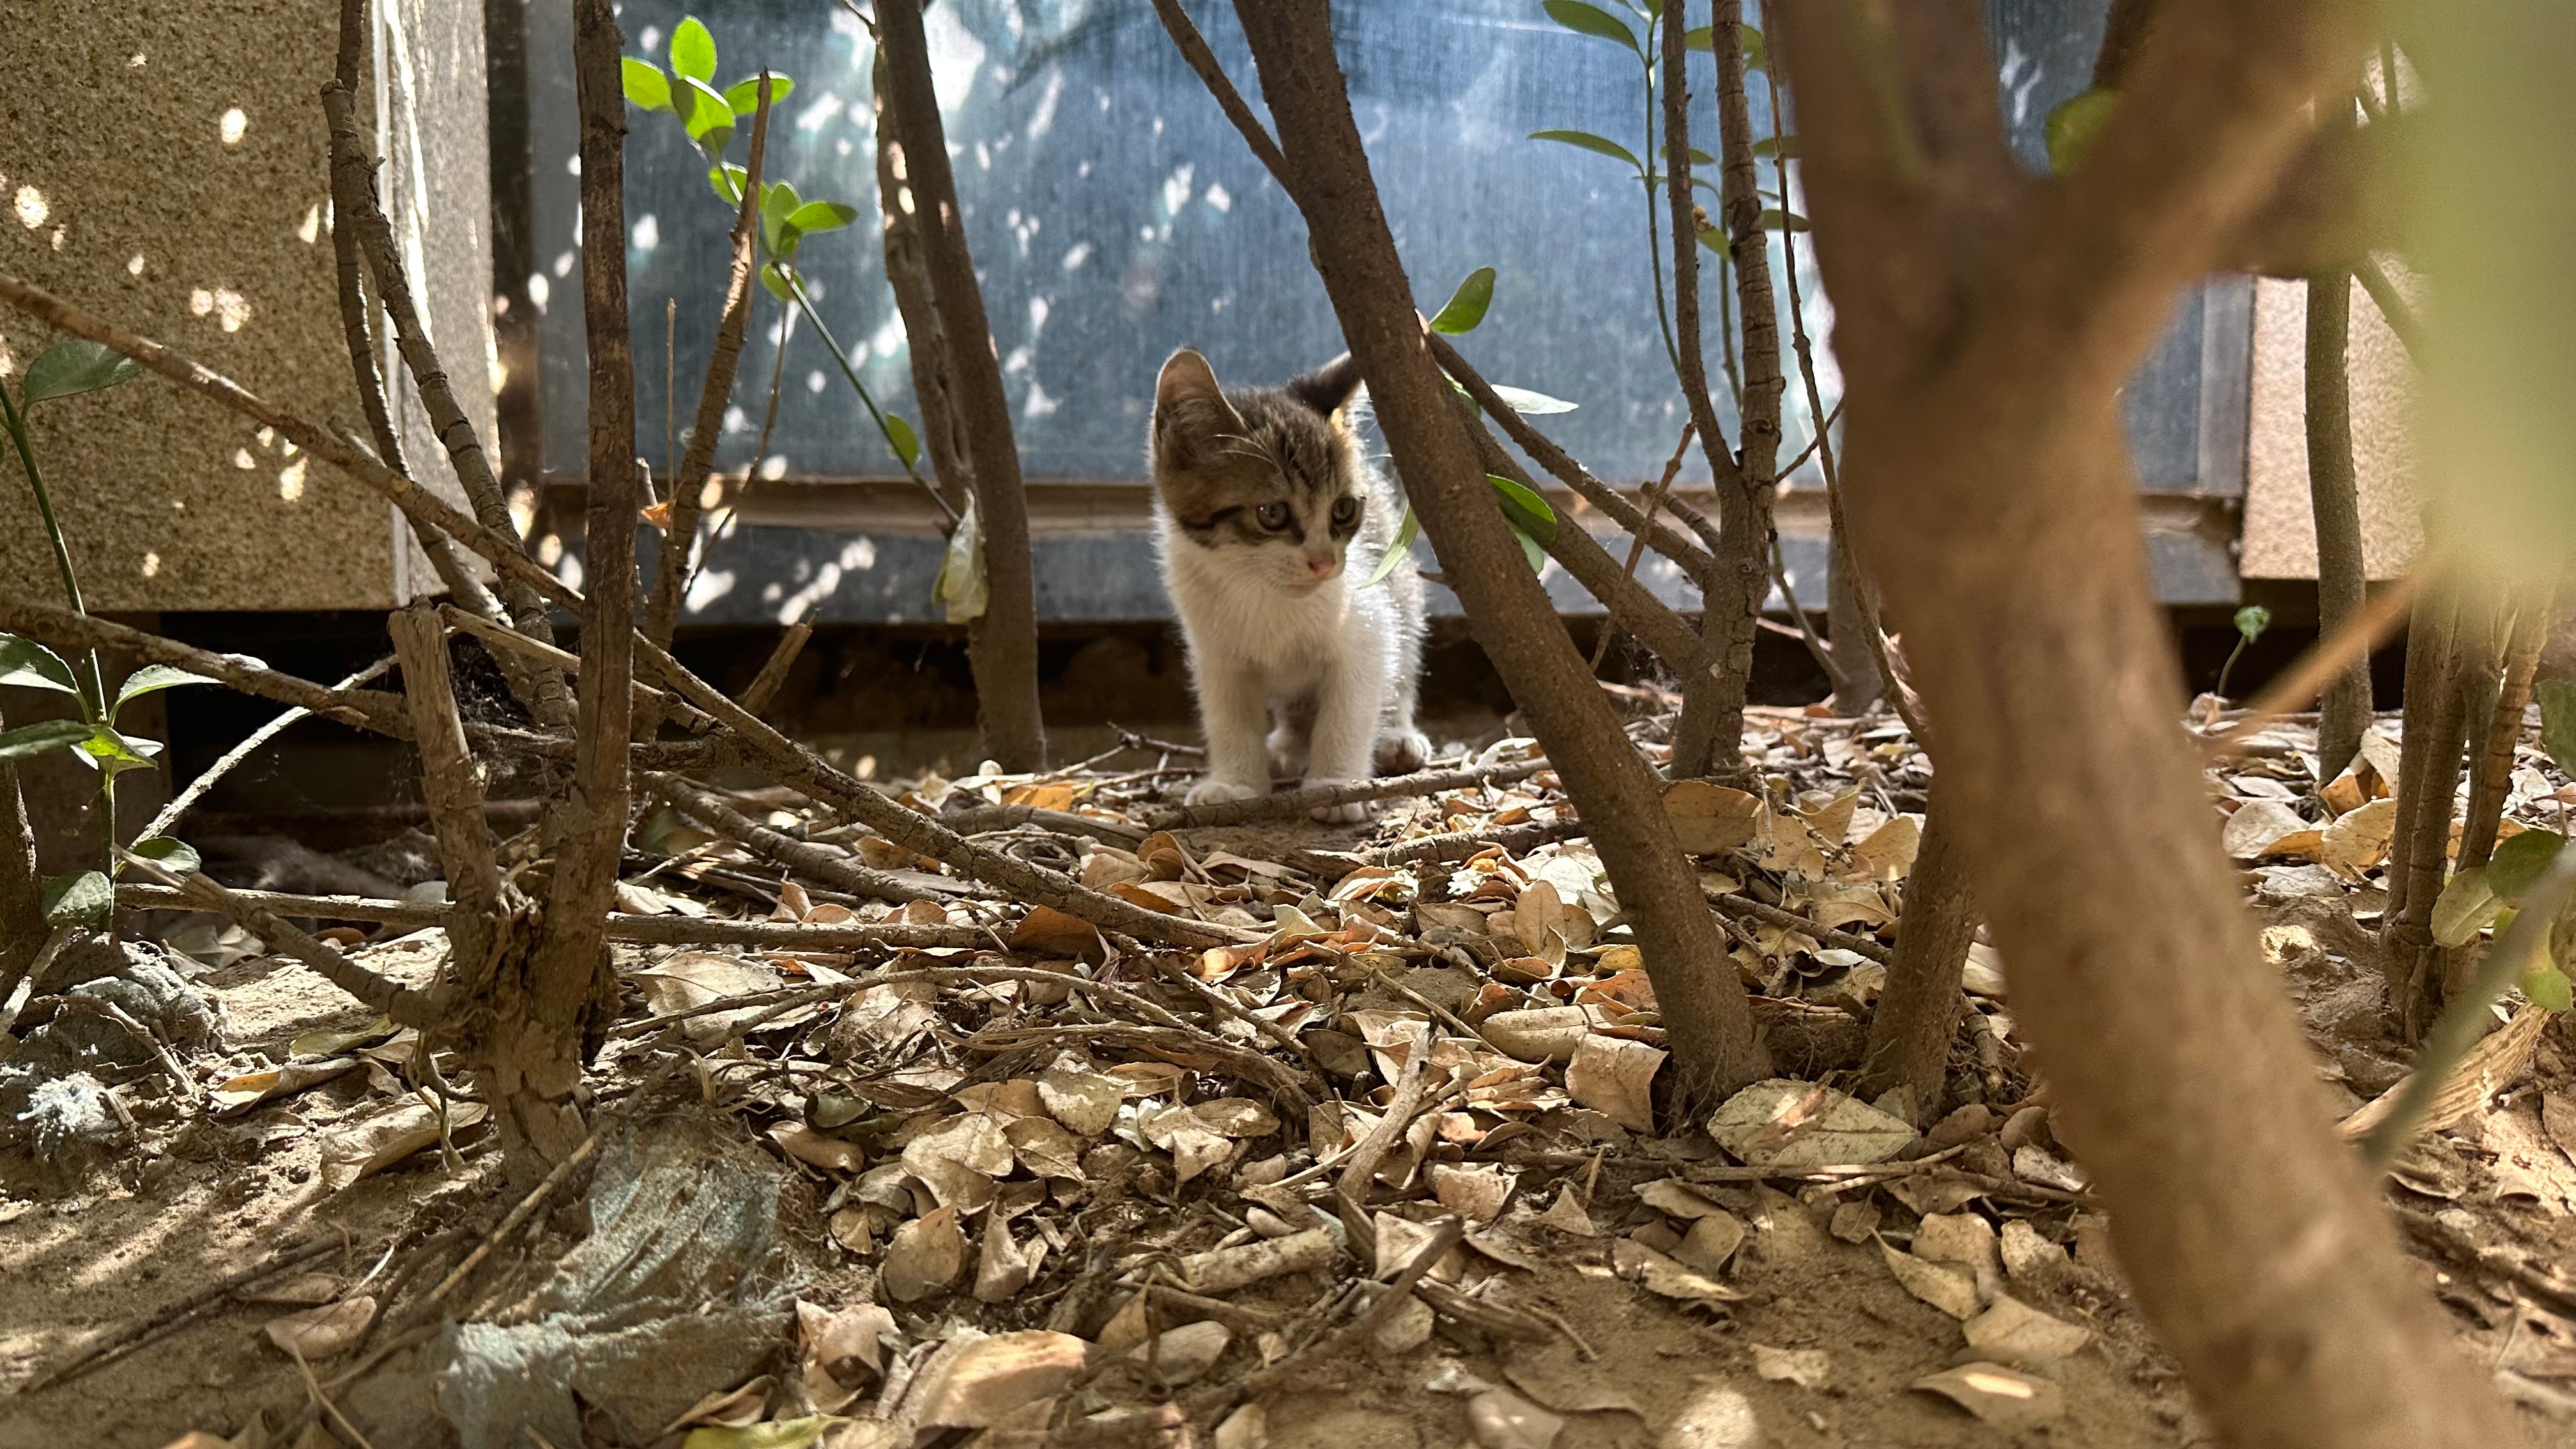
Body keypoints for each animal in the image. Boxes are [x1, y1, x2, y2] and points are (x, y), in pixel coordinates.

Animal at [1148, 347, 1430, 823]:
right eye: (1272, 514)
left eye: (1343, 510)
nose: (1324, 563)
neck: (1262, 589)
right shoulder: (1215, 650)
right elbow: (1229, 715)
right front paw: (1236, 784)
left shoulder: (1368, 626)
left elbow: (1350, 707)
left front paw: (1336, 785)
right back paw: (1284, 750)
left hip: (1401, 587)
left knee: (1404, 660)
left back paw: (1396, 737)